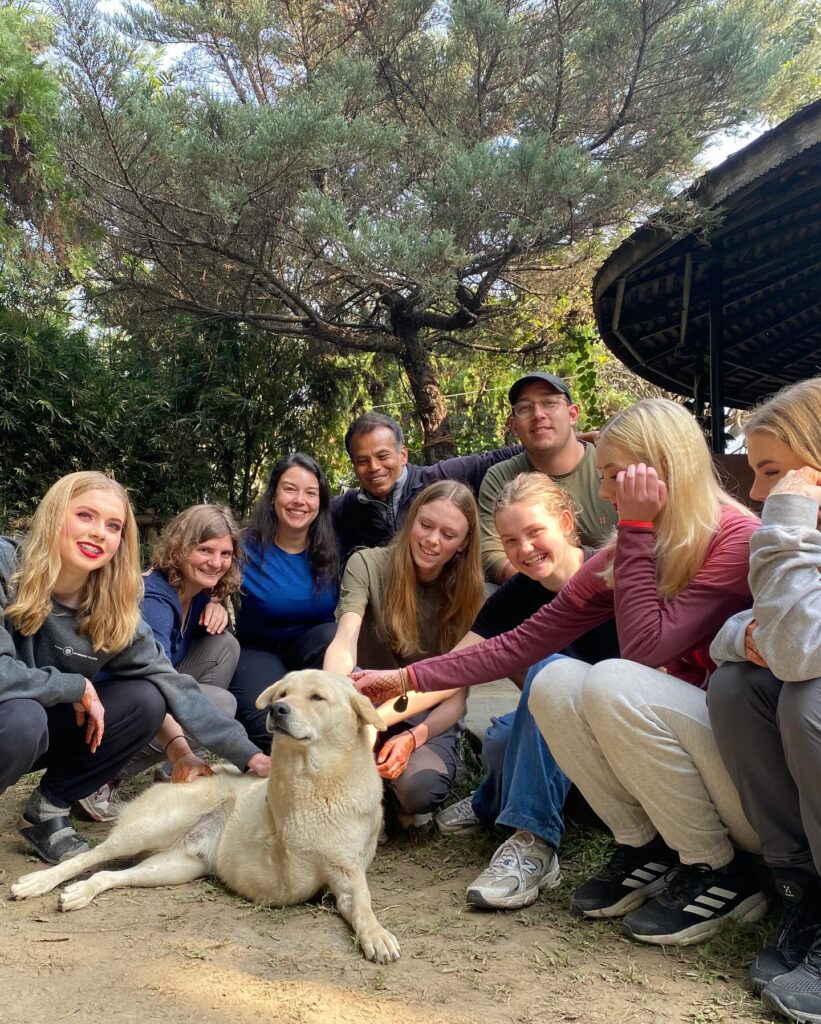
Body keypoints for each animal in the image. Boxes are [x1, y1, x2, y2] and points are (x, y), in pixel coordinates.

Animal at [10, 667, 399, 962]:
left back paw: (80, 892)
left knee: (110, 874)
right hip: (155, 826)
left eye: (318, 697)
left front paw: (375, 933)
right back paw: (37, 882)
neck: (319, 782)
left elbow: (363, 903)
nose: (277, 709)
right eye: (283, 693)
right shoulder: (283, 852)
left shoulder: (347, 874)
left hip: (173, 868)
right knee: (91, 856)